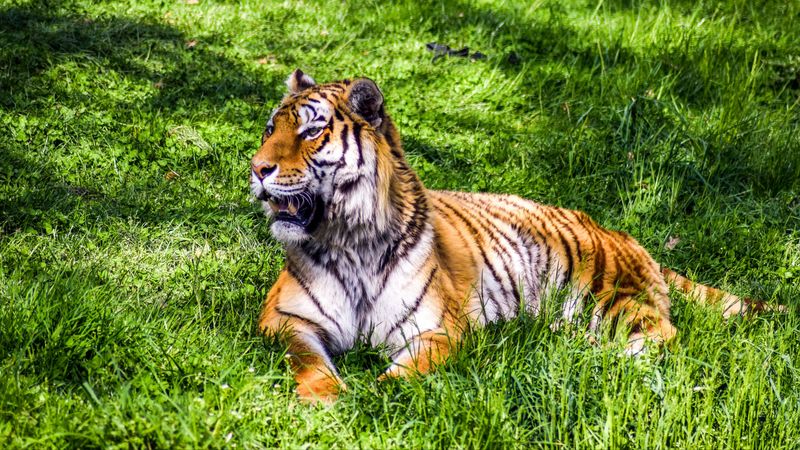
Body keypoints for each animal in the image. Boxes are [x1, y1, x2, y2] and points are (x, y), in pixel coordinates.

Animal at [249, 69, 784, 403]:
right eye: (271, 129)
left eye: (311, 132)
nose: (256, 169)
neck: (351, 239)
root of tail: (623, 234)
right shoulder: (285, 317)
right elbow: (308, 361)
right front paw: (325, 398)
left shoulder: (438, 330)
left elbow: (405, 375)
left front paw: (374, 395)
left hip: (611, 299)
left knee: (663, 337)